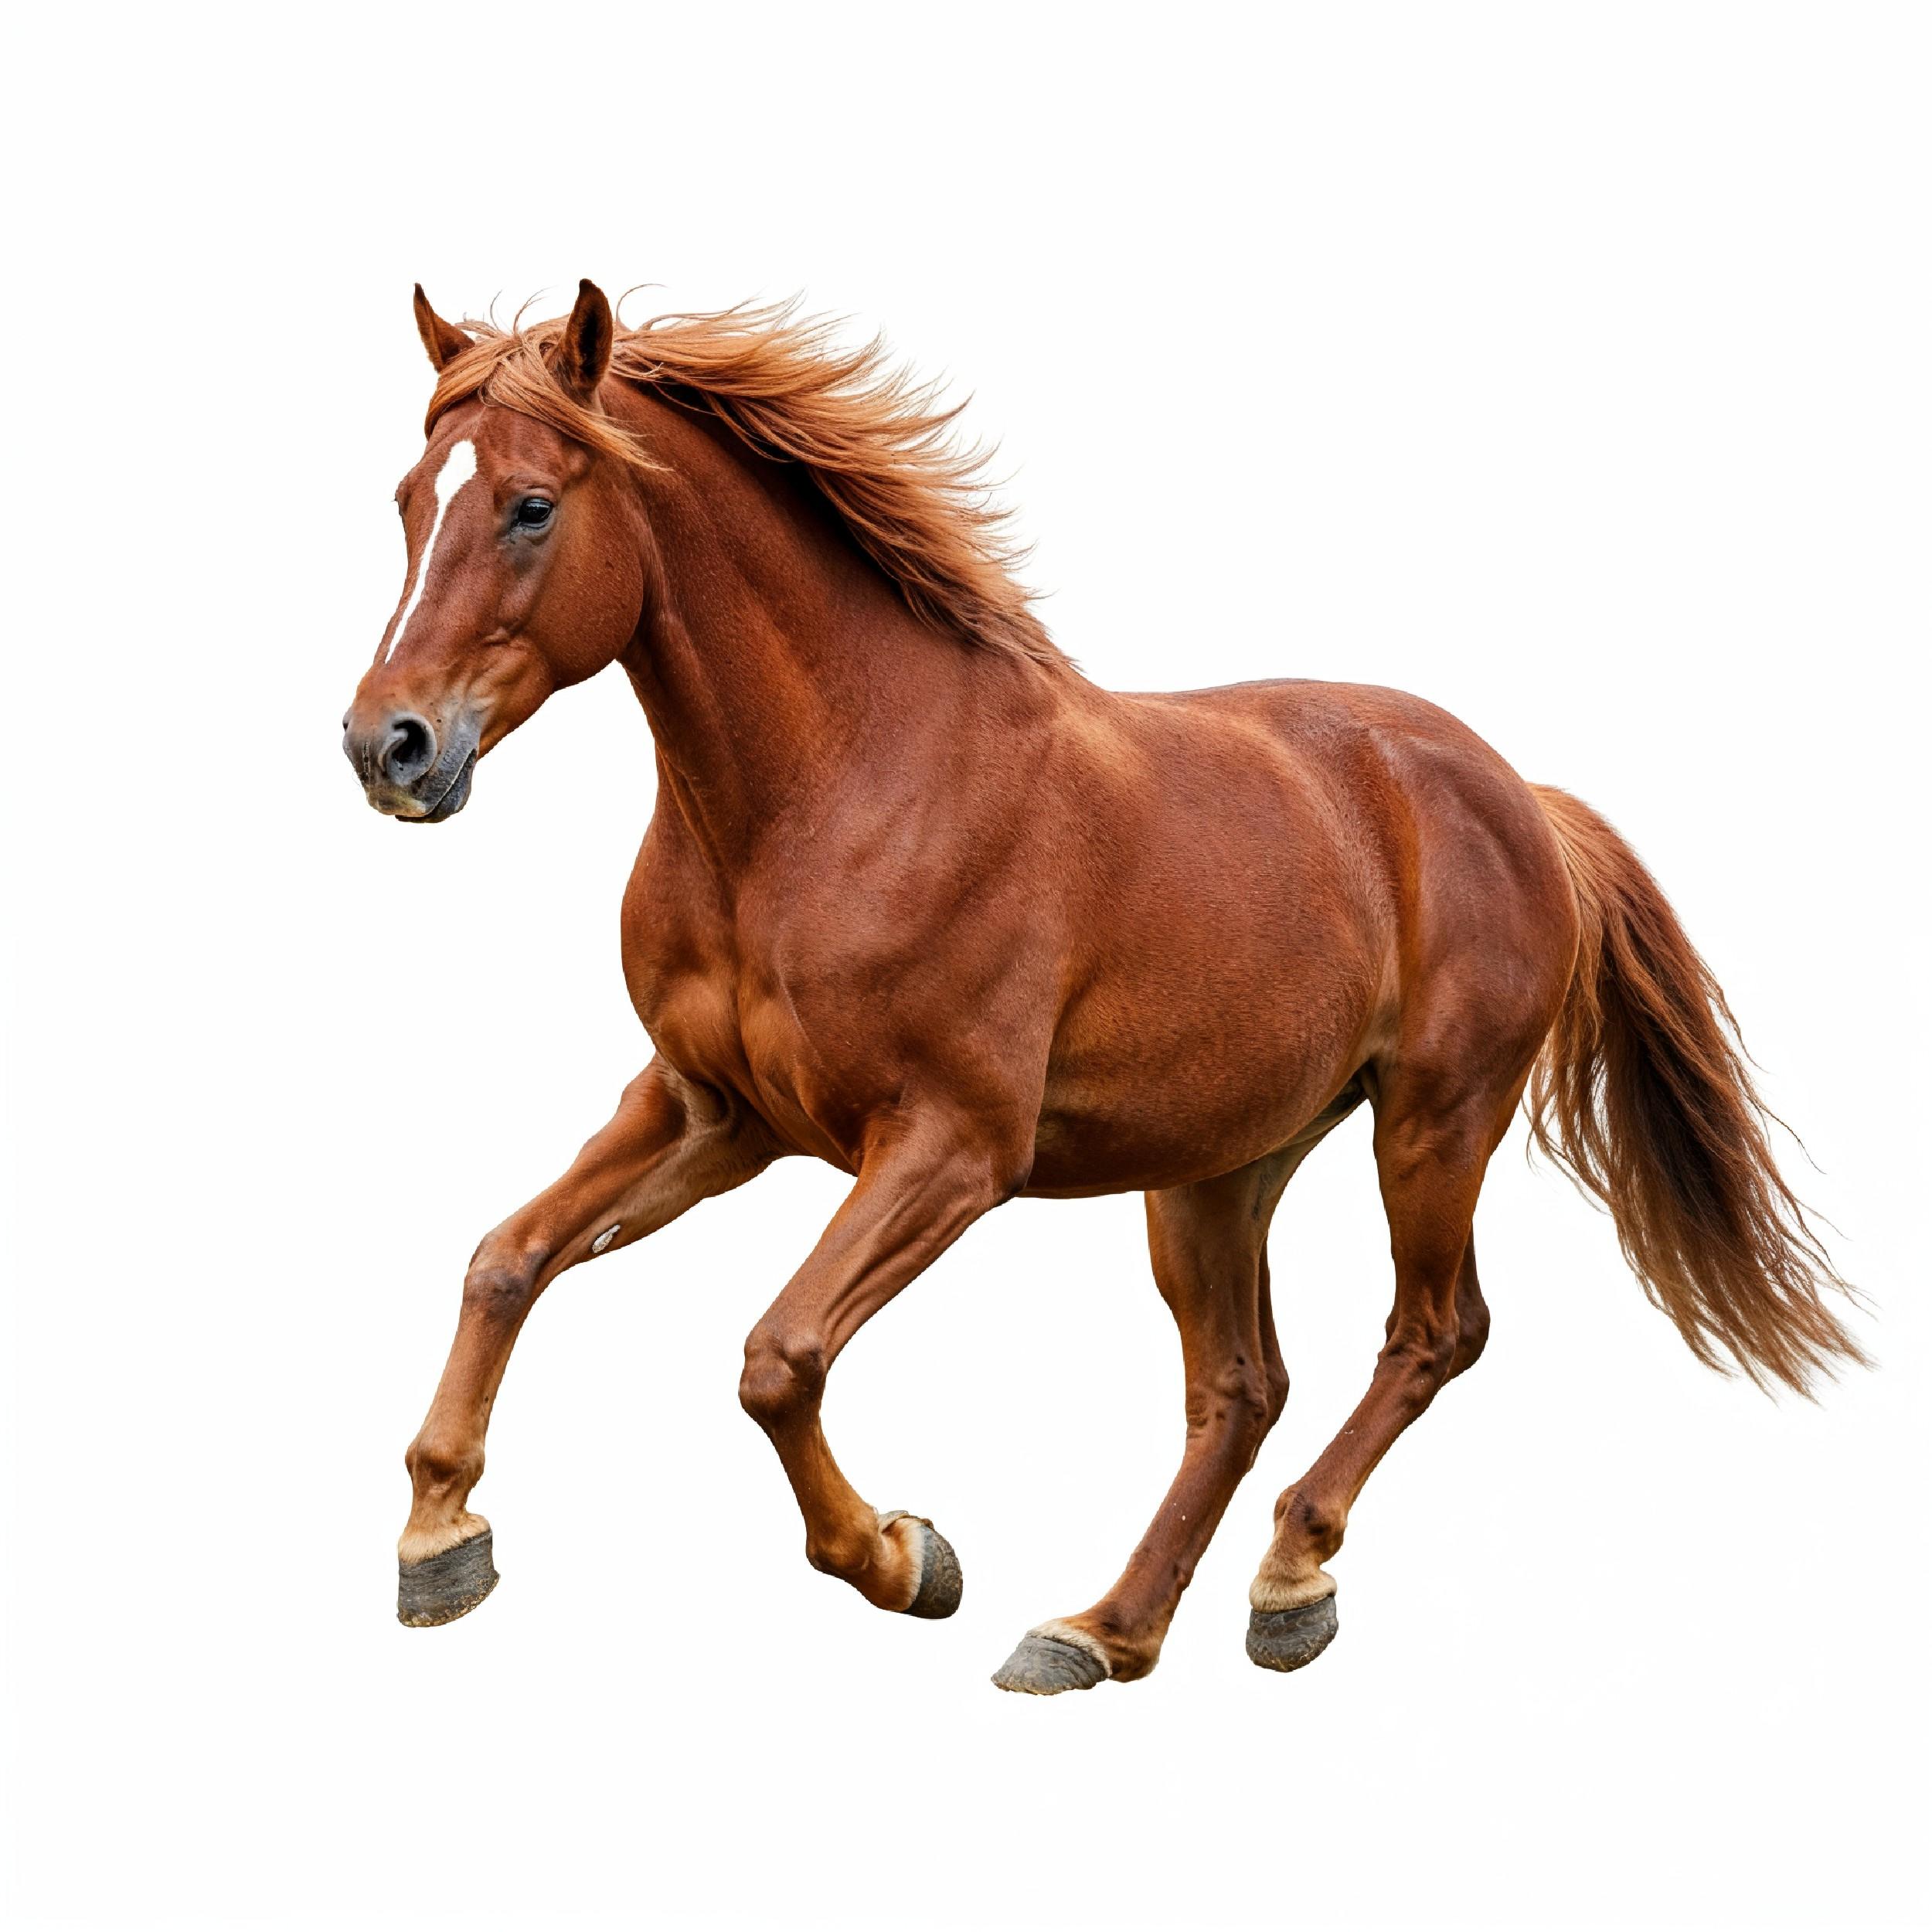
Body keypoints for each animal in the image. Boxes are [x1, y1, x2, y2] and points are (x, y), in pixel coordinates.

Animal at [342, 279, 1862, 1694]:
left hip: (1435, 1122)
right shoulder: (713, 1111)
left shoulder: (953, 1145)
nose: (388, 747)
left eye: (532, 507)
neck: (834, 790)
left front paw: (905, 1557)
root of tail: (1520, 799)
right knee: (1241, 1388)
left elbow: (779, 1357)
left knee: (1434, 1335)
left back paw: (1287, 1579)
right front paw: (438, 1544)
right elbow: (505, 1259)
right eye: (411, 499)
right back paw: (1100, 1632)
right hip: (1217, 1167)